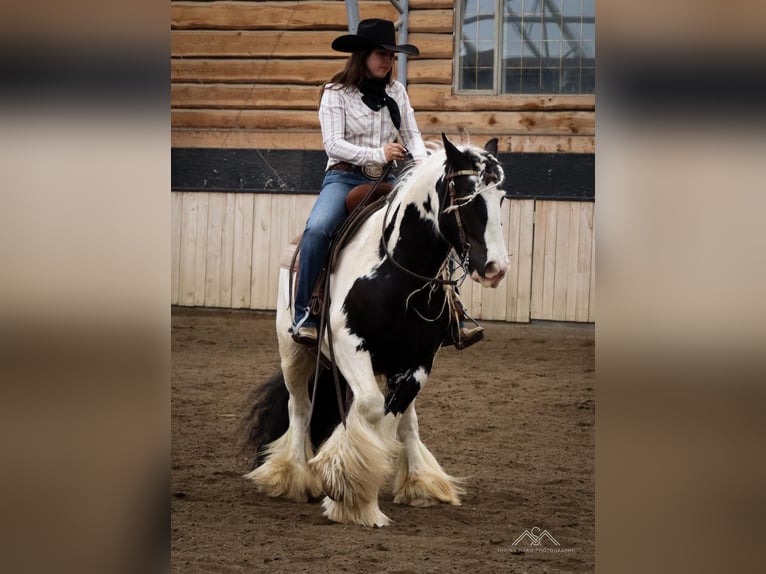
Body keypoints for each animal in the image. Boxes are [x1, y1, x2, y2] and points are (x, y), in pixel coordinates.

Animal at [246, 134, 510, 528]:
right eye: (465, 195)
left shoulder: (418, 361)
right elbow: (369, 408)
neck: (397, 273)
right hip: (293, 351)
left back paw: (422, 483)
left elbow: (392, 415)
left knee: (406, 420)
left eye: (501, 197)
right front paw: (346, 490)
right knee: (300, 407)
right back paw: (292, 476)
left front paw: (355, 489)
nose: (495, 267)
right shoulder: (350, 348)